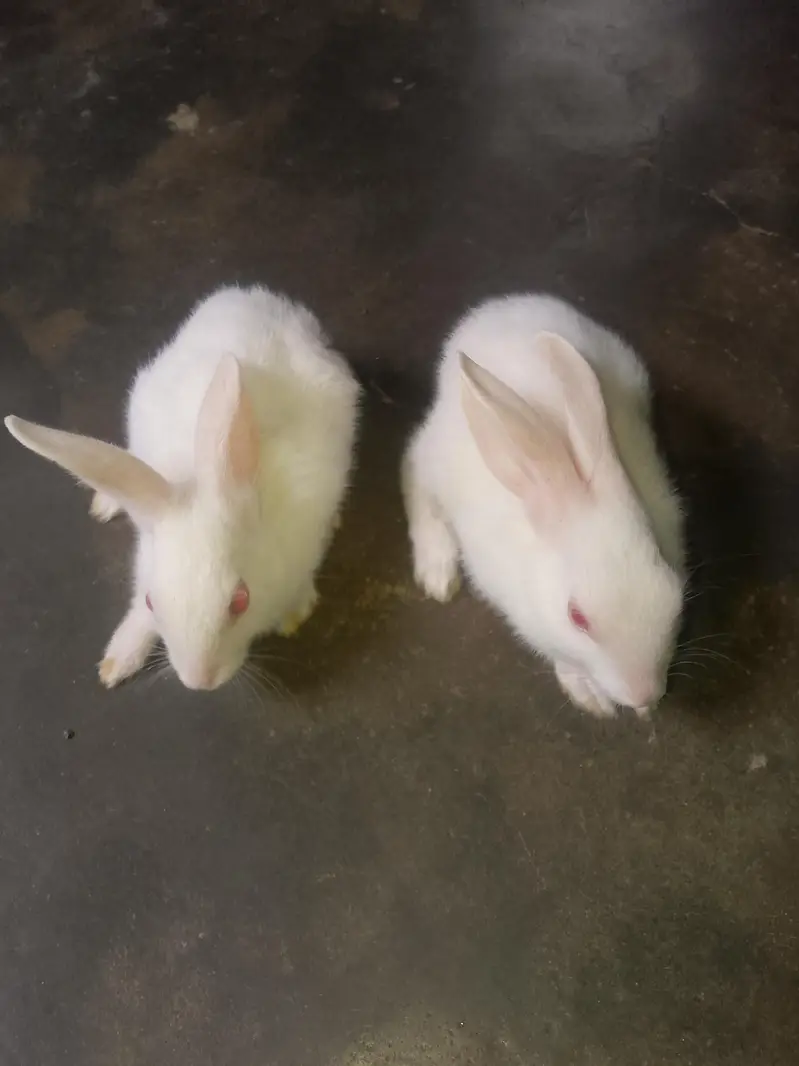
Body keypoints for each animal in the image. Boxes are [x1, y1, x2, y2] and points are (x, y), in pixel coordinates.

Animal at [5, 284, 360, 691]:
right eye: (151, 602)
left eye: (240, 601)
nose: (198, 681)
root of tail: (259, 297)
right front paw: (117, 662)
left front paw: (294, 614)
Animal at [402, 294, 685, 718]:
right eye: (577, 618)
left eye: (668, 583)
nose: (645, 694)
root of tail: (488, 313)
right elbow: (563, 656)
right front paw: (591, 698)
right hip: (435, 459)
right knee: (413, 472)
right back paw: (437, 570)